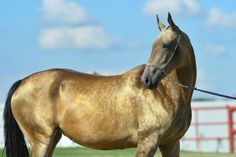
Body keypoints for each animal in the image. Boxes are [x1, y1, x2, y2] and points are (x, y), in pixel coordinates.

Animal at [3, 13, 195, 157]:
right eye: (154, 45)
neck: (167, 93)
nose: (146, 80)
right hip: (41, 141)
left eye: (166, 45)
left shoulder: (171, 144)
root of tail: (23, 82)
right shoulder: (148, 142)